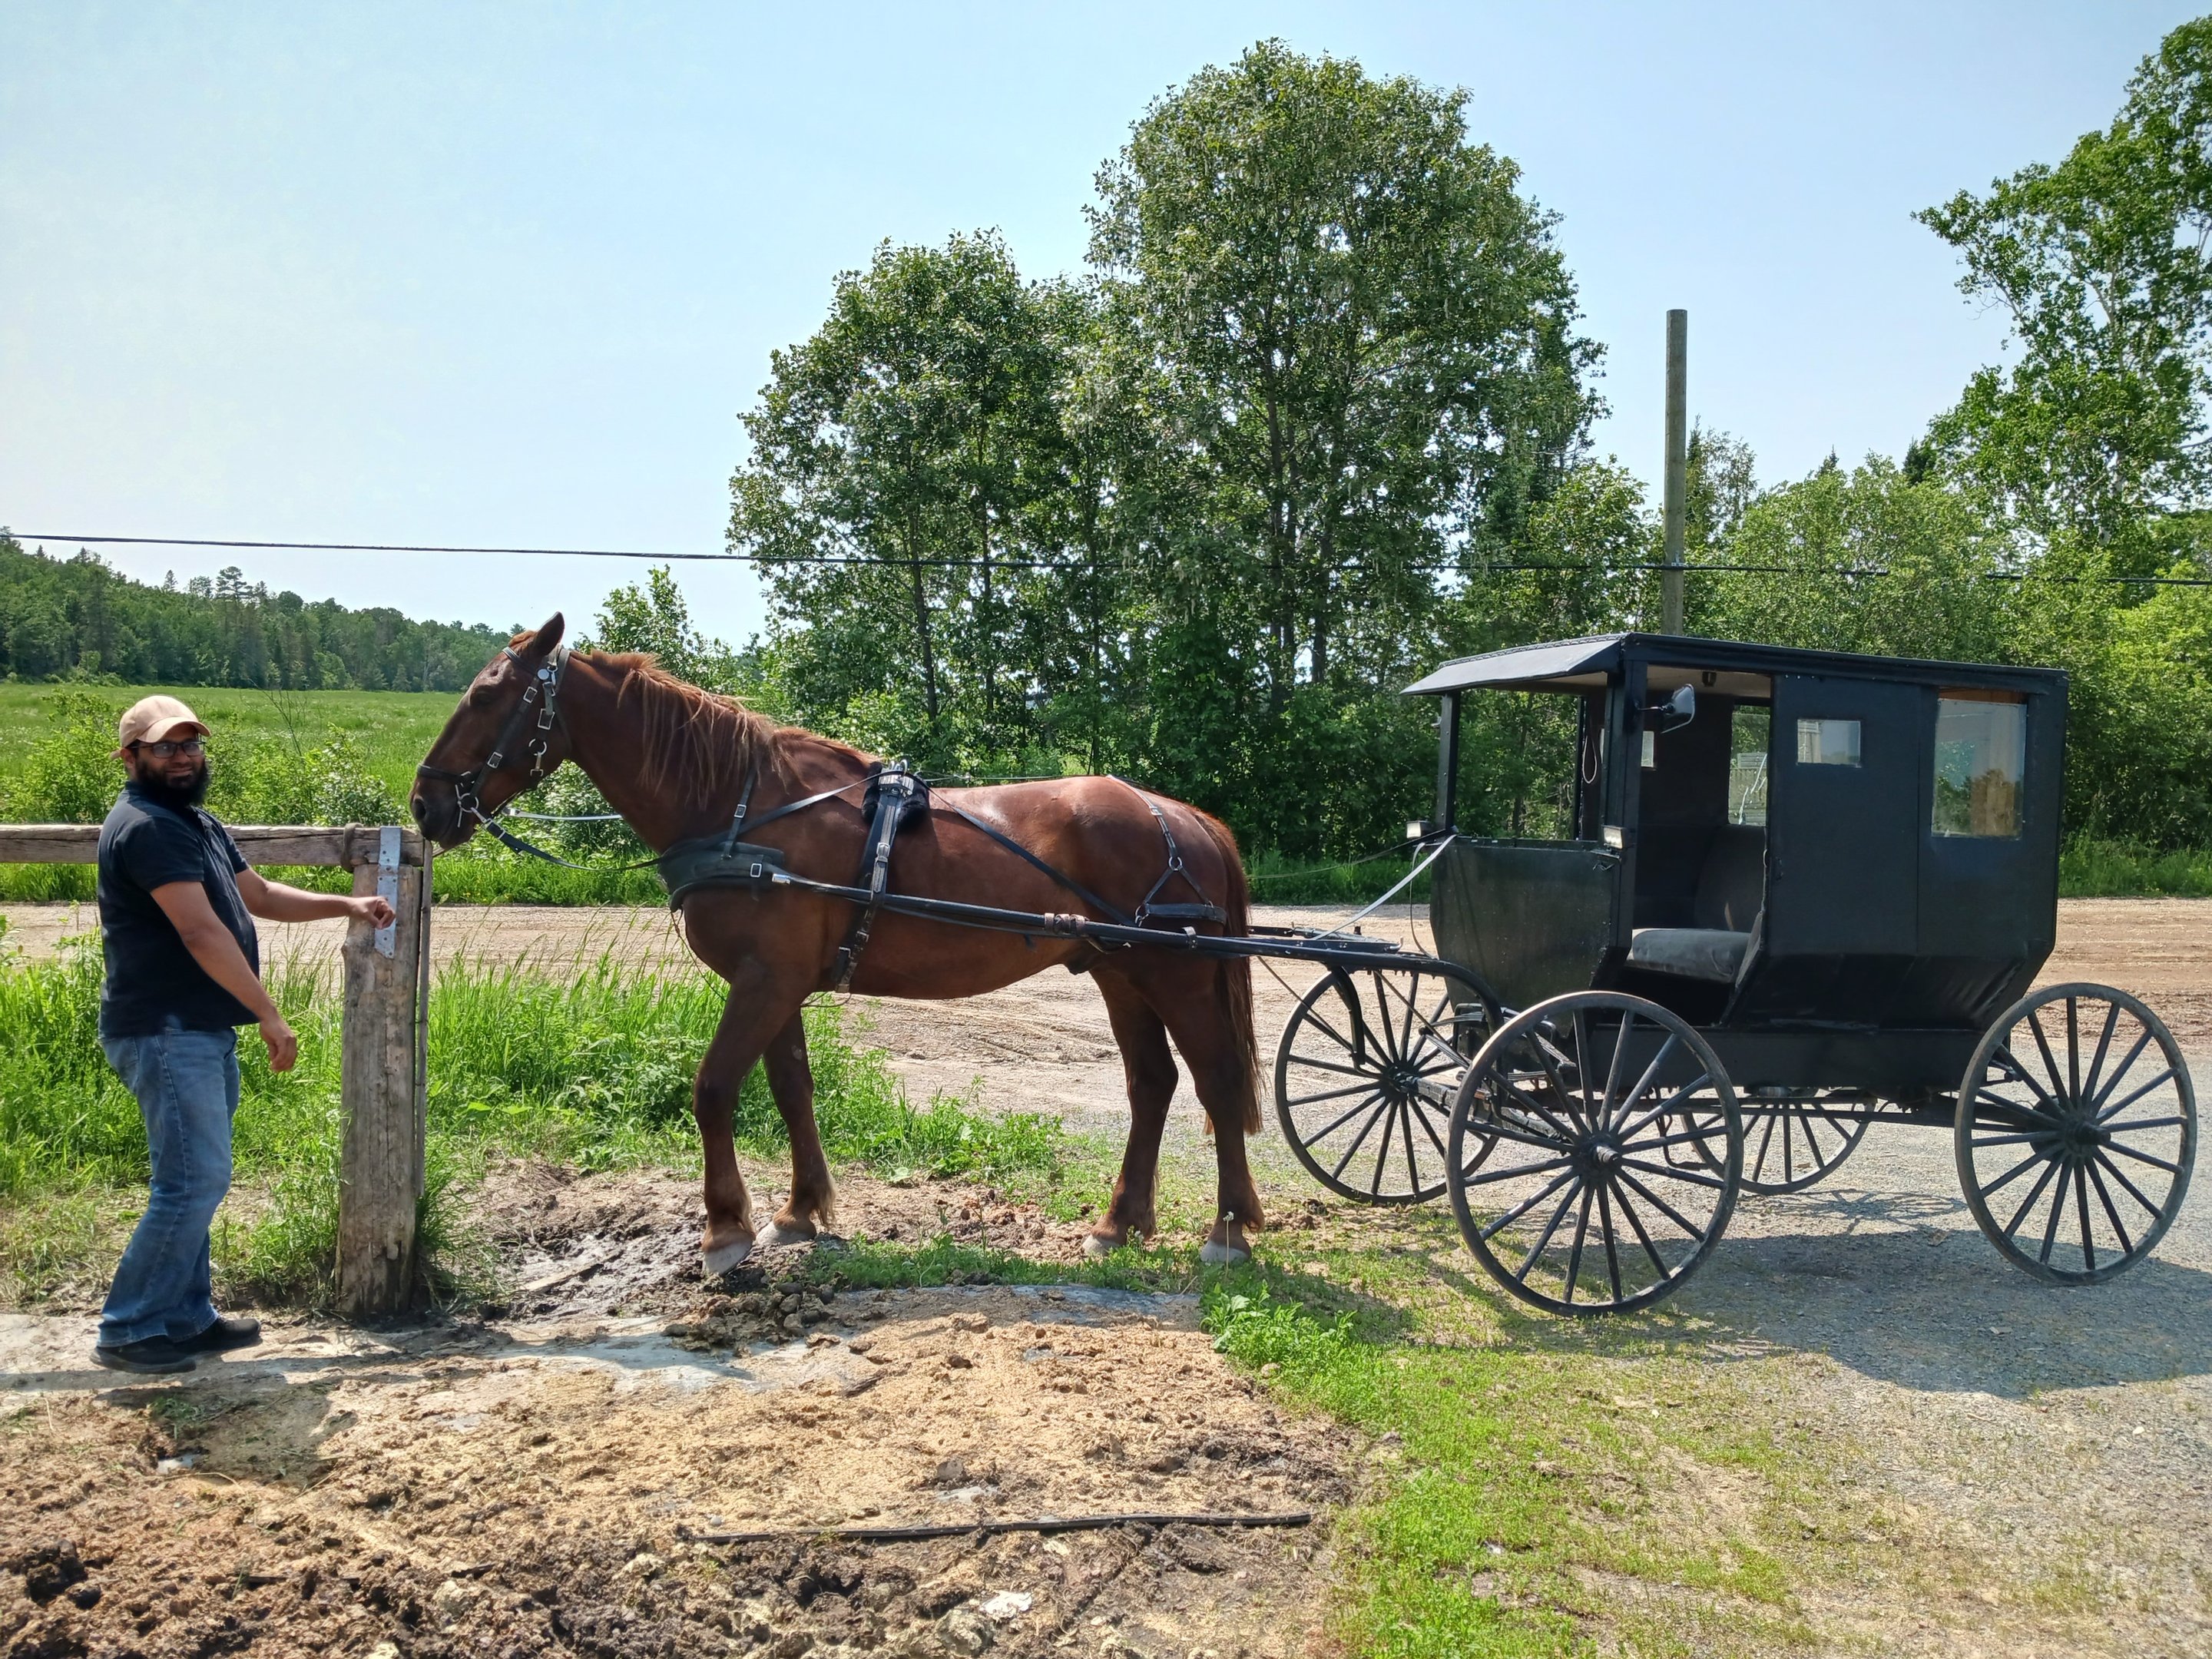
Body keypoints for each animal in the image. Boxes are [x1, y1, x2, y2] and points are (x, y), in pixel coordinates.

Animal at [410, 614, 1266, 1274]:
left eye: (485, 695)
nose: (423, 804)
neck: (741, 807)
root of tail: (1182, 816)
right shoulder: (774, 983)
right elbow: (791, 1088)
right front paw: (799, 1212)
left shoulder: (765, 979)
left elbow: (714, 1087)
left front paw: (725, 1229)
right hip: (1120, 973)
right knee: (1153, 1083)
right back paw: (1119, 1224)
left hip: (1176, 976)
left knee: (1218, 1081)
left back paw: (1228, 1231)